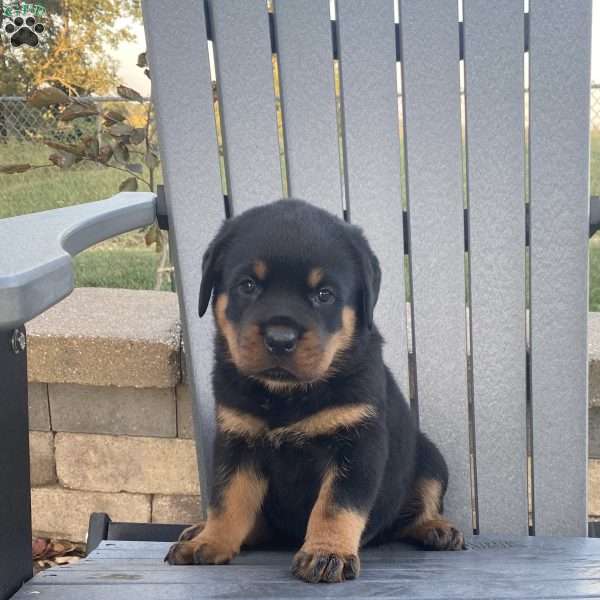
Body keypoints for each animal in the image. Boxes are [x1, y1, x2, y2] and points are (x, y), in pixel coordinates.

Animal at [166, 199, 466, 584]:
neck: (286, 395)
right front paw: (212, 540)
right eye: (248, 285)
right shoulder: (237, 442)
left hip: (429, 457)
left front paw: (327, 553)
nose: (280, 339)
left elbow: (335, 506)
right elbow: (227, 500)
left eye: (324, 294)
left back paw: (437, 528)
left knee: (418, 506)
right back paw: (200, 530)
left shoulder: (357, 444)